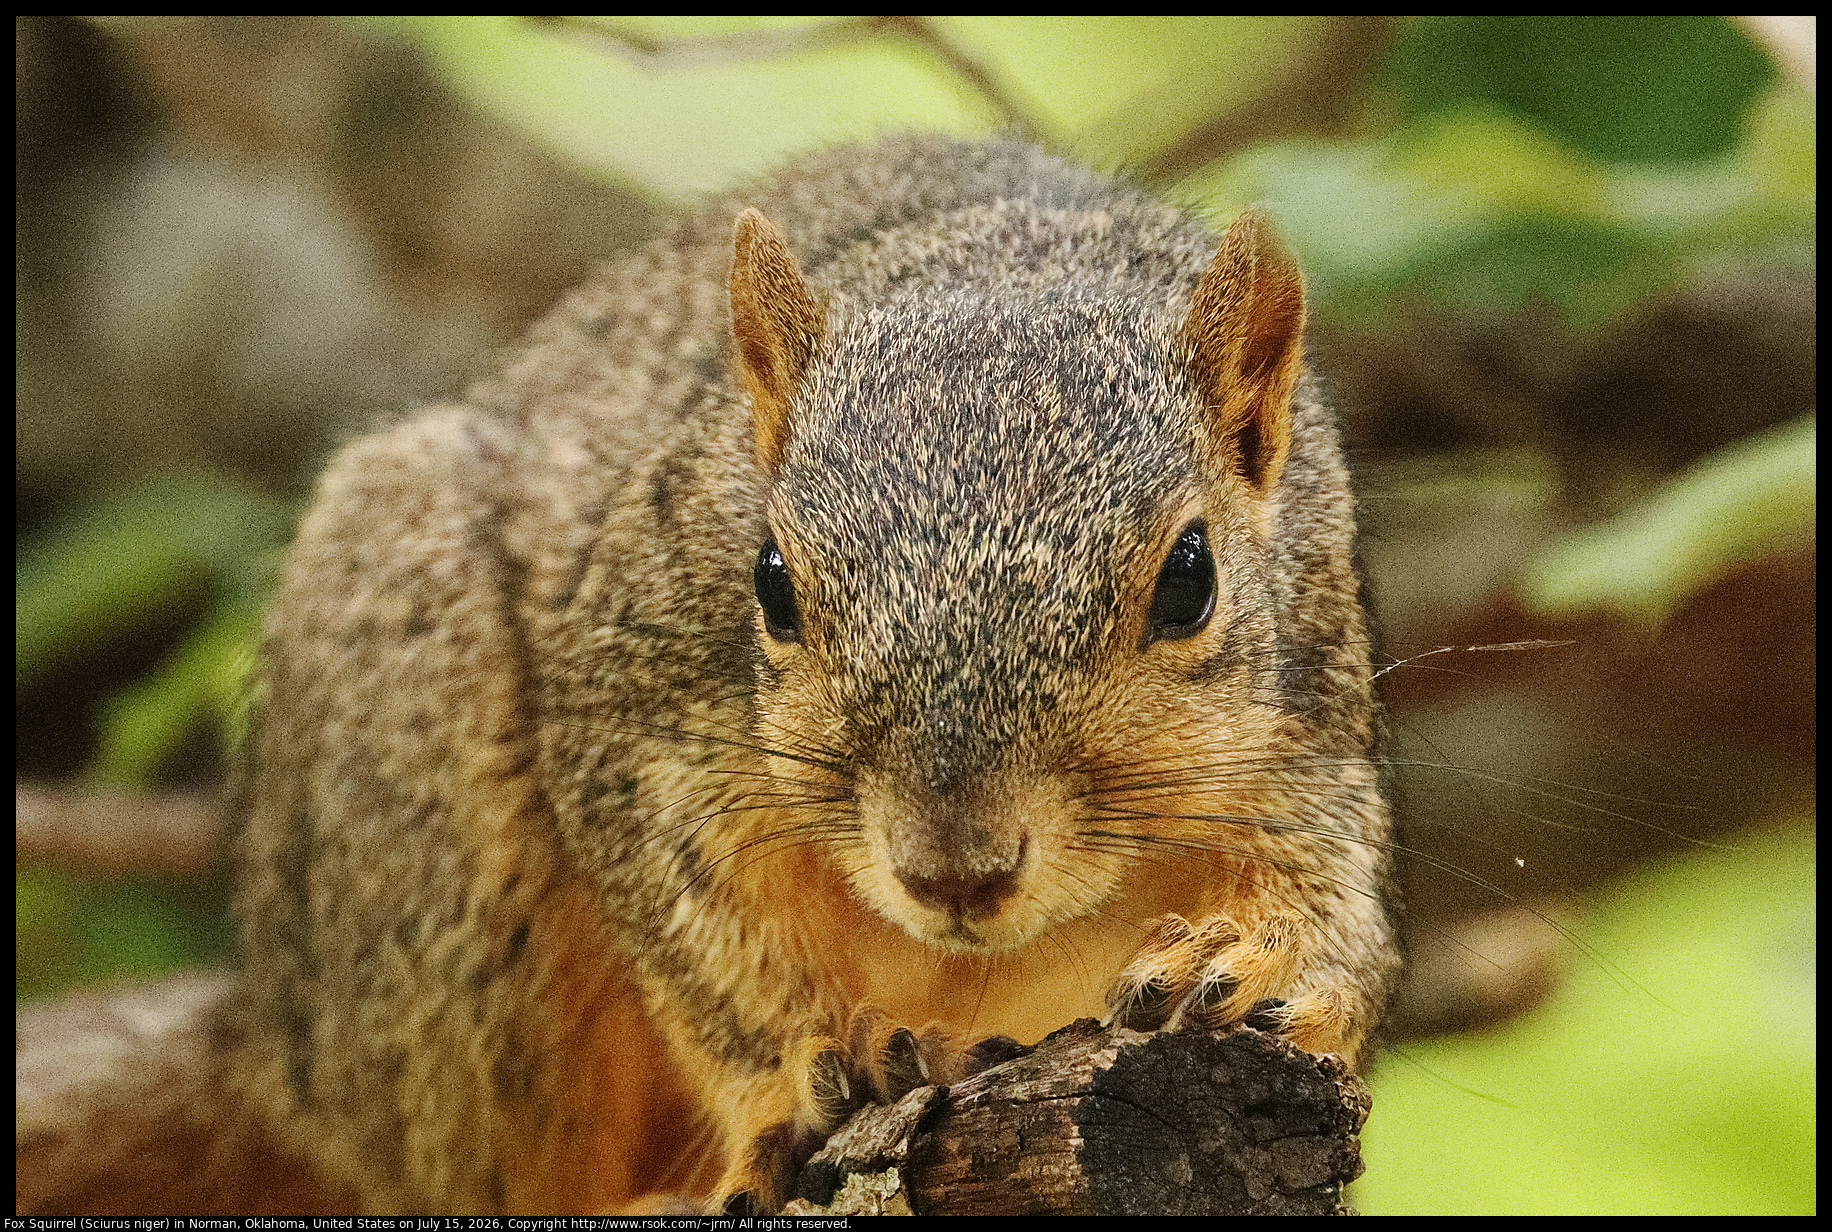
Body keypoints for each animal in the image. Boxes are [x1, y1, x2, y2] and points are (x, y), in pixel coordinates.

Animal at [230, 134, 1399, 1213]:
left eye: (1190, 579)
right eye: (772, 583)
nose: (953, 871)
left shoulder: (1315, 704)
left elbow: (1336, 884)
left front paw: (1265, 957)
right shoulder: (643, 715)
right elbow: (700, 930)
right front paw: (803, 1073)